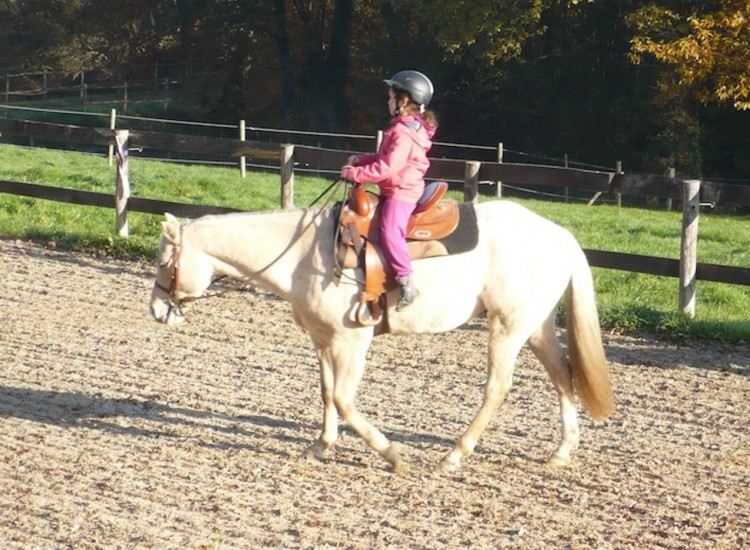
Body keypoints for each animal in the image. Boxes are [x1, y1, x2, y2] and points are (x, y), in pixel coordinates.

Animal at [149, 199, 614, 472]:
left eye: (164, 262)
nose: (156, 311)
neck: (303, 254)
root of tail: (561, 236)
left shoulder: (351, 341)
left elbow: (343, 398)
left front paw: (391, 453)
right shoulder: (322, 340)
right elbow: (326, 393)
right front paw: (321, 445)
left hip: (507, 328)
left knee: (497, 389)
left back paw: (454, 455)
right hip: (535, 328)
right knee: (563, 375)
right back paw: (561, 451)